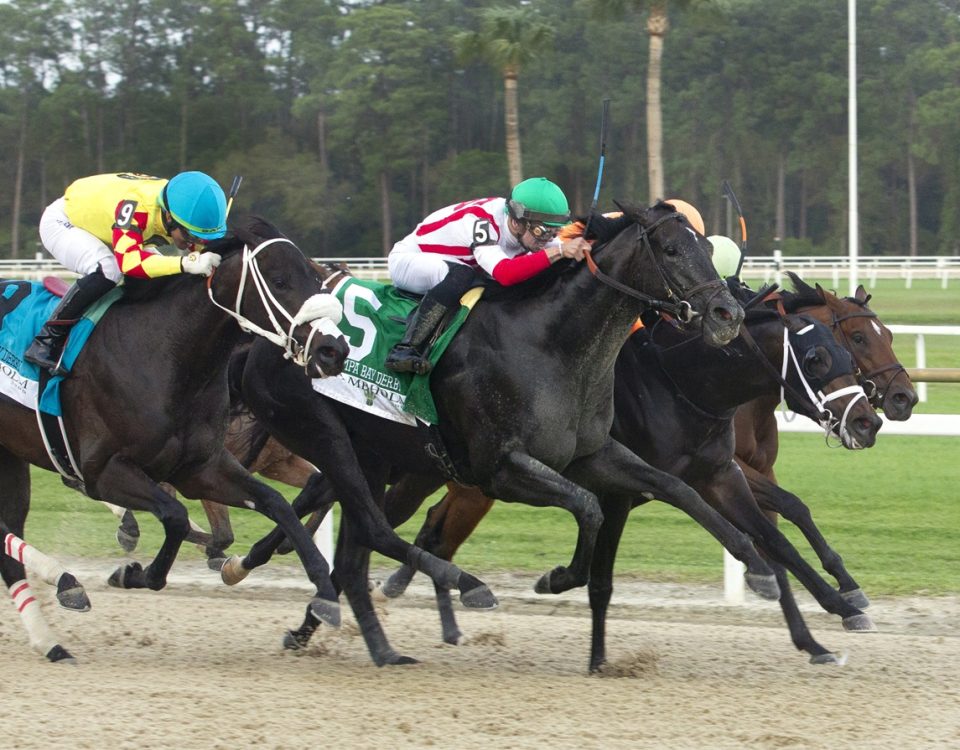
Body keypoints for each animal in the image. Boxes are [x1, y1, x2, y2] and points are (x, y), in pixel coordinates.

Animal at [0, 219, 350, 664]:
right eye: (279, 280)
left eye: (317, 279)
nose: (333, 350)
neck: (166, 355)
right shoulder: (105, 472)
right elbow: (177, 517)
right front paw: (132, 573)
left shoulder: (201, 468)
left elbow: (277, 505)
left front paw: (322, 595)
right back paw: (65, 580)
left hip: (11, 454)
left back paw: (51, 637)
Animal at [231, 203, 796, 668]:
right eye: (673, 249)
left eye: (710, 249)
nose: (728, 315)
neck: (553, 345)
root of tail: (268, 342)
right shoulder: (499, 468)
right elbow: (588, 507)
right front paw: (558, 577)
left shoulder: (592, 453)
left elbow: (678, 488)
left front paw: (757, 565)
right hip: (333, 441)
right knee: (355, 527)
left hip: (374, 456)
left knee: (353, 553)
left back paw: (373, 644)